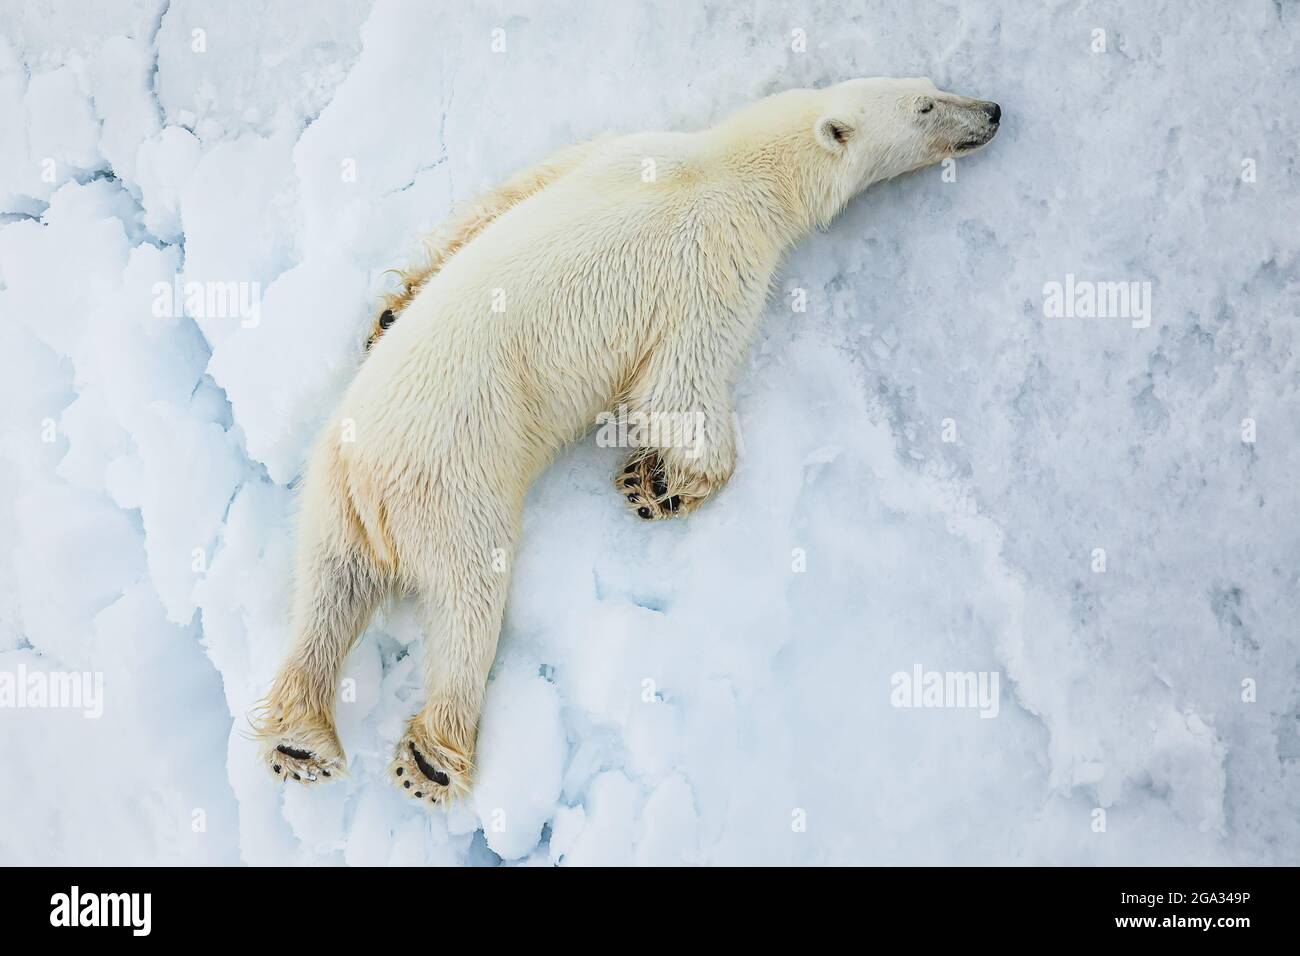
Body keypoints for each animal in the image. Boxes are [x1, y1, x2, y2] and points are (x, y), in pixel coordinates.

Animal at [256, 78, 1003, 806]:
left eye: (933, 84)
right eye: (927, 104)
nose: (993, 111)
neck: (729, 165)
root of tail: (375, 486)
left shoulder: (611, 149)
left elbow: (506, 197)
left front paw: (392, 307)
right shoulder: (717, 260)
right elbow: (678, 387)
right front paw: (658, 484)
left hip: (331, 489)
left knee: (328, 589)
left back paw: (300, 742)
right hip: (457, 489)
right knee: (469, 598)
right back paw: (432, 758)